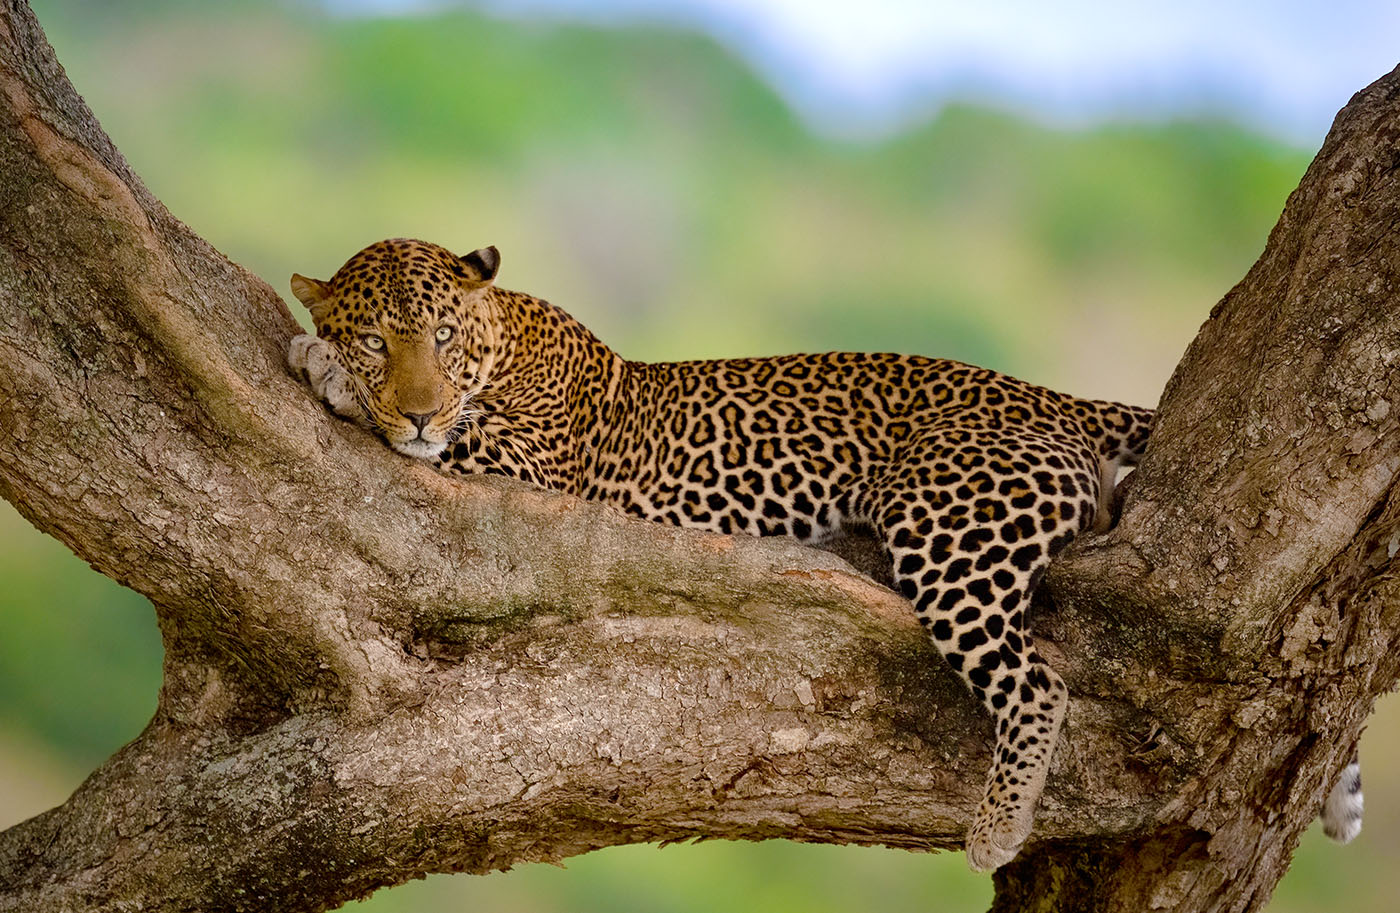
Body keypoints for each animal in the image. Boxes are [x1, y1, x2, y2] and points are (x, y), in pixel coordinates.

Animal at [286, 237, 1364, 870]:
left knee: (1039, 680)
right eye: (381, 339)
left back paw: (997, 825)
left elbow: (458, 438)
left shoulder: (547, 469)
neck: (506, 341)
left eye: (437, 335)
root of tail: (1049, 397)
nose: (415, 406)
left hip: (951, 531)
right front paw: (334, 364)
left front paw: (321, 368)